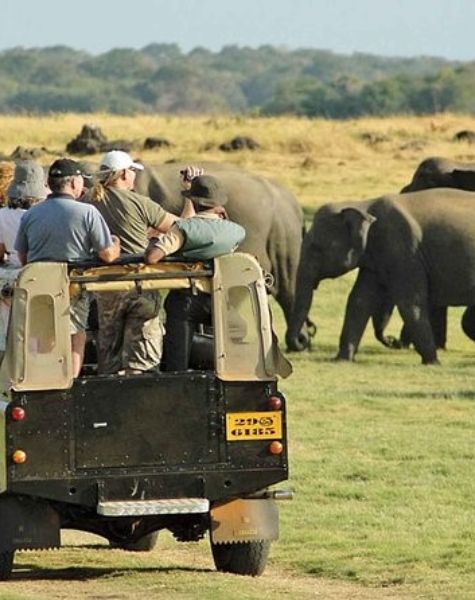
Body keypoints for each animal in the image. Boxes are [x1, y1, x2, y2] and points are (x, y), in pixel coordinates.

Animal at [286, 190, 475, 364]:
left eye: (316, 248)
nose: (392, 340)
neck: (364, 206)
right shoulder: (375, 260)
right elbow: (359, 300)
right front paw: (341, 360)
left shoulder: (404, 250)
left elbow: (410, 303)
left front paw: (432, 362)